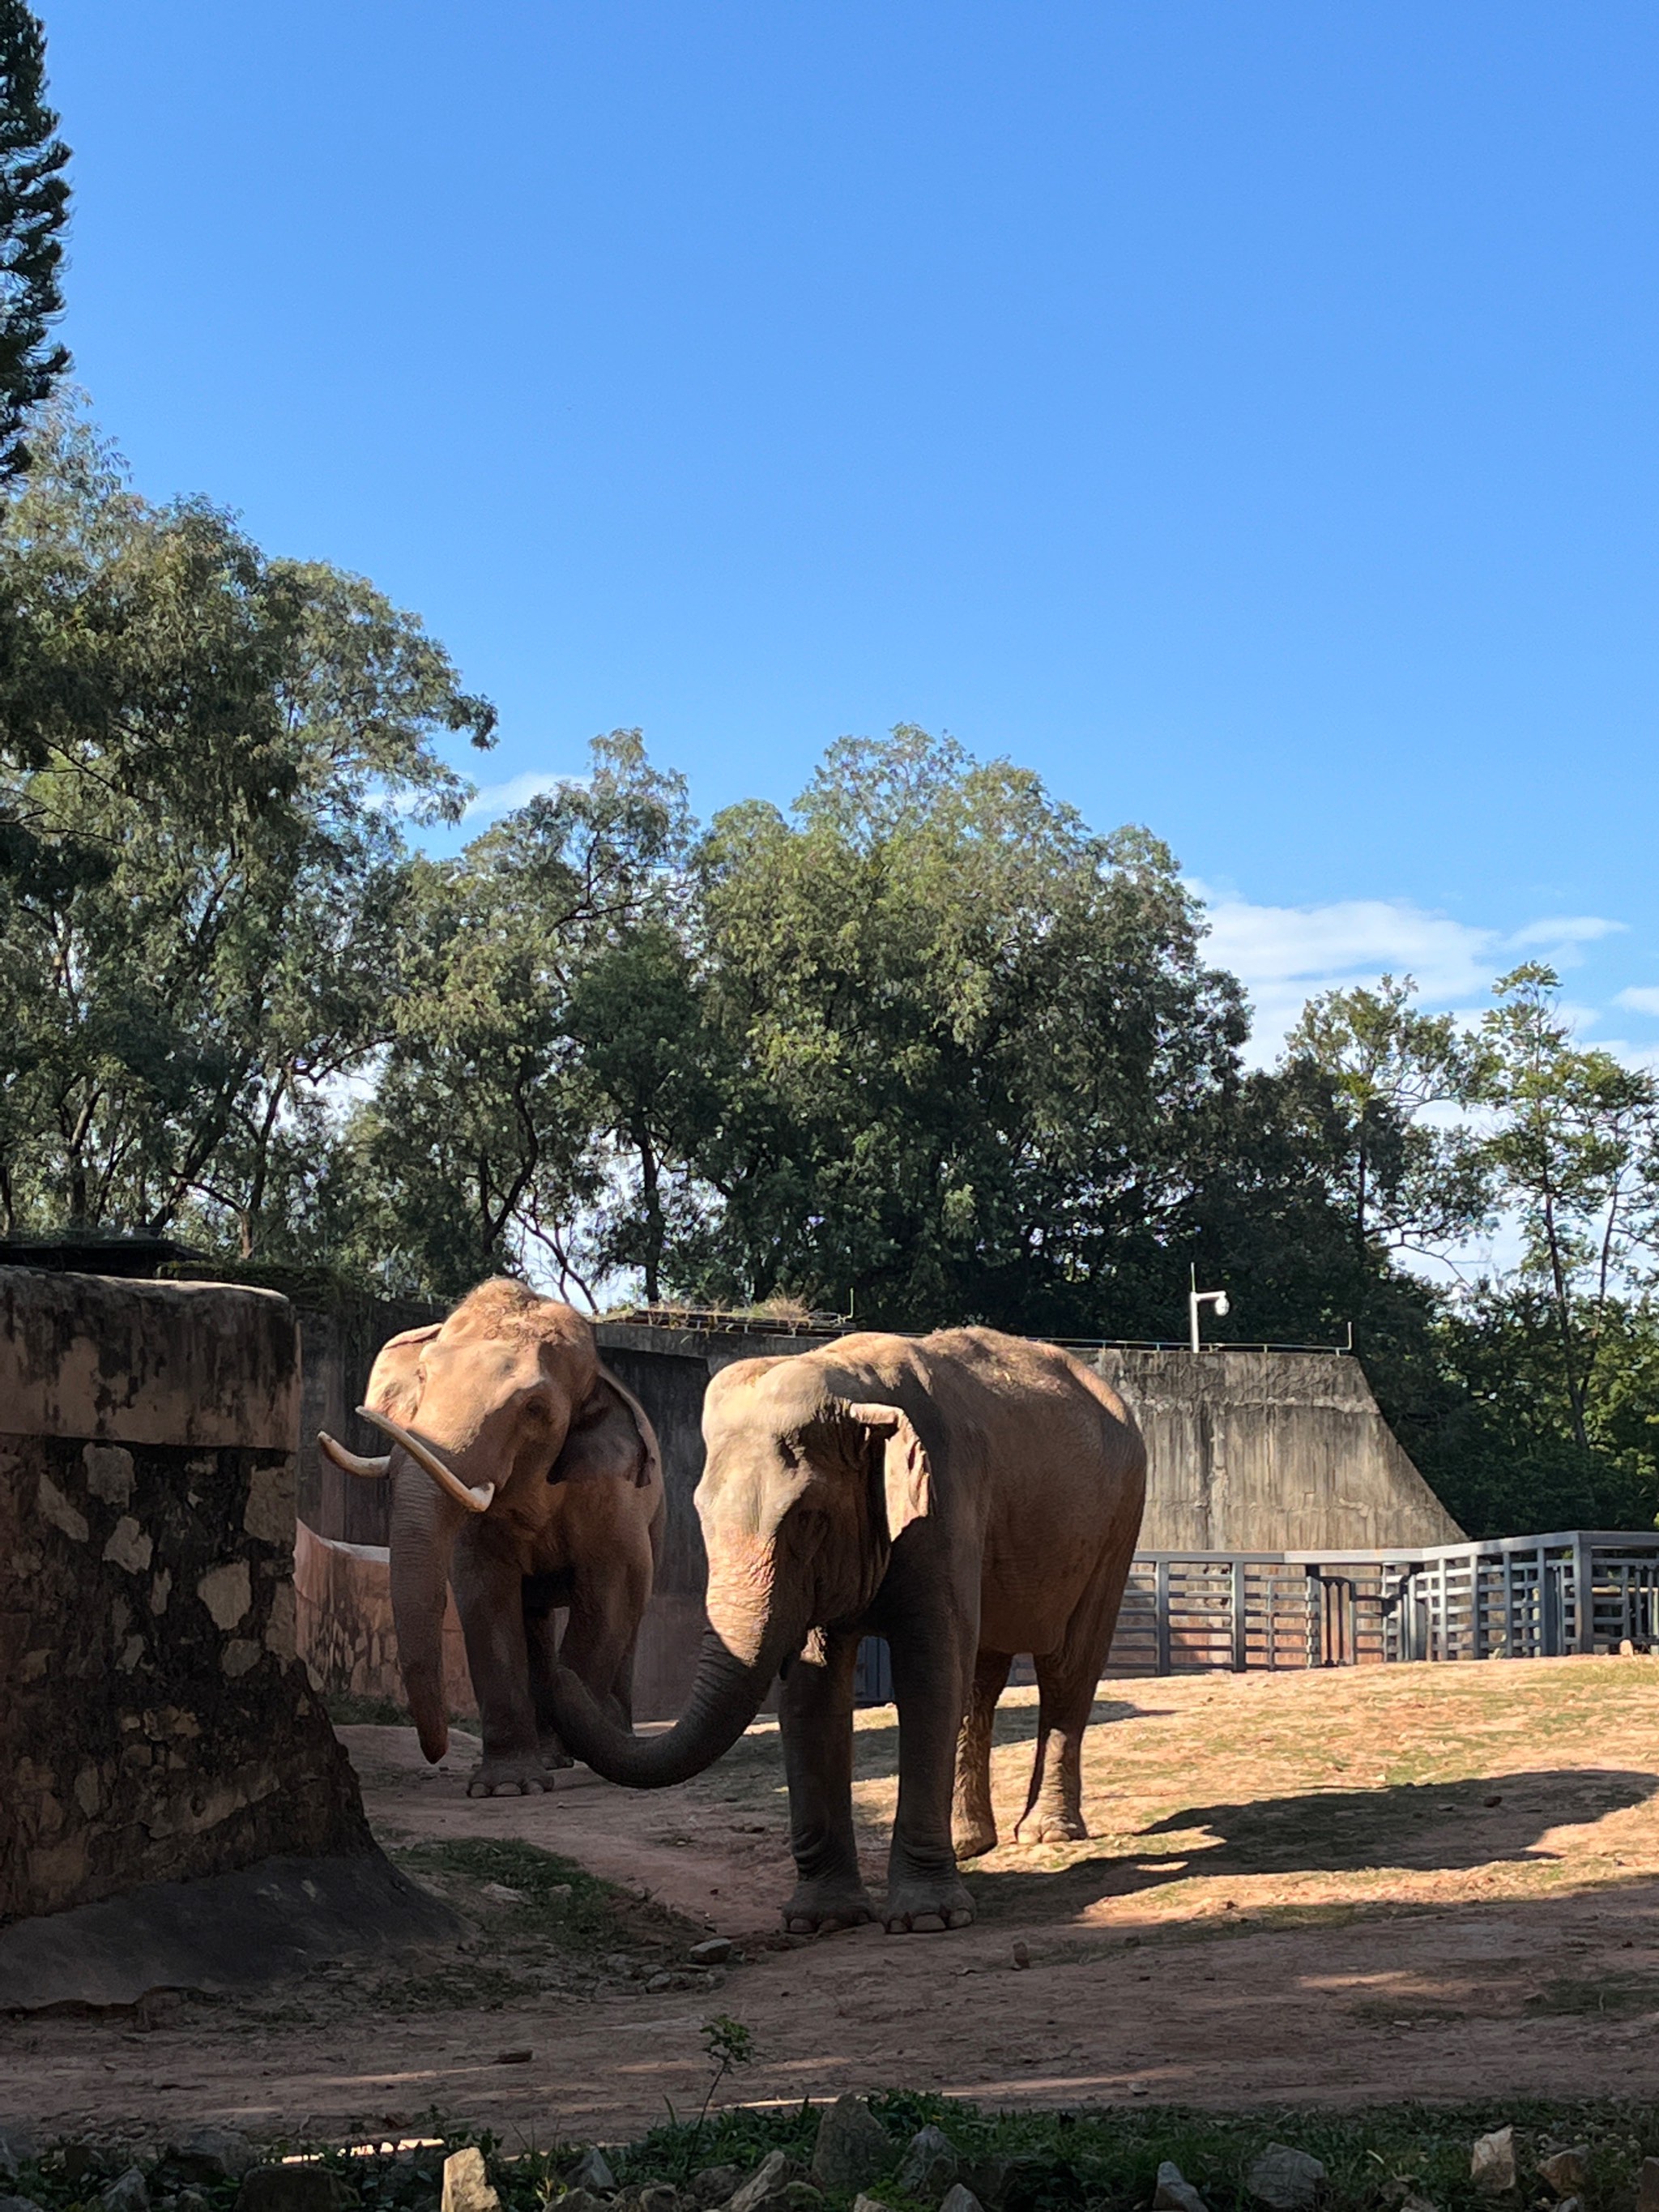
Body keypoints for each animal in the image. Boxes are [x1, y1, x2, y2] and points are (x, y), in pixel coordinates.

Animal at [318, 1283, 663, 1796]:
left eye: (535, 1410)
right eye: (422, 1375)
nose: (435, 1753)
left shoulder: (613, 1493)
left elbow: (613, 1590)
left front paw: (551, 1754)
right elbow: (483, 1591)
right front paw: (505, 1787)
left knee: (632, 1612)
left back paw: (595, 1742)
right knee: (534, 1614)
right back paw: (551, 1755)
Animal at [552, 1318, 1149, 1928]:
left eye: (808, 1520)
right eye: (700, 1516)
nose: (558, 1671)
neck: (853, 1387)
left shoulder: (945, 1501)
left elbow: (928, 1673)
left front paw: (927, 1920)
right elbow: (815, 1691)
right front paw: (822, 1920)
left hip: (1119, 1518)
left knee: (1065, 1666)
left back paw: (1046, 1834)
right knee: (981, 1676)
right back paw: (969, 1844)